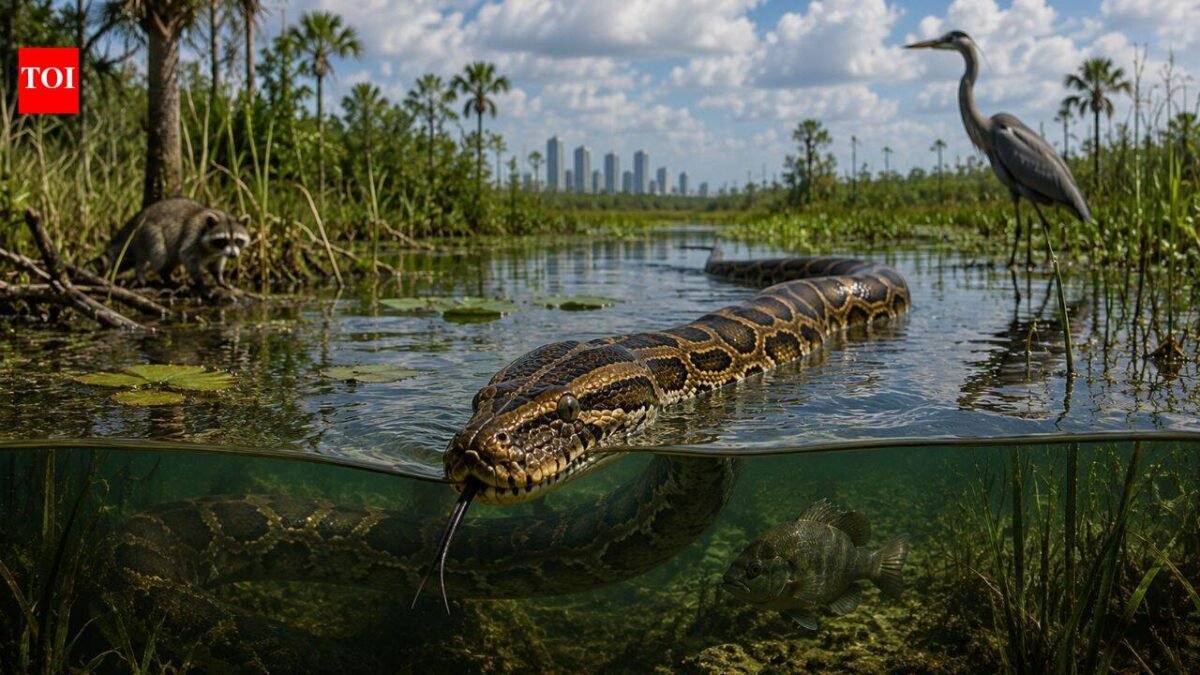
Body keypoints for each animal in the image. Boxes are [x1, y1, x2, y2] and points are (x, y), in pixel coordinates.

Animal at [98, 198, 251, 294]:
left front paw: (220, 279)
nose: (233, 255)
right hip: (149, 232)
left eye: (238, 240)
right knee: (158, 254)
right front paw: (200, 282)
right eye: (223, 240)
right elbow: (187, 255)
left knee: (171, 258)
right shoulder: (193, 236)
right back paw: (142, 272)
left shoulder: (219, 253)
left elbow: (216, 264)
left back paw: (166, 276)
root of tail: (137, 218)